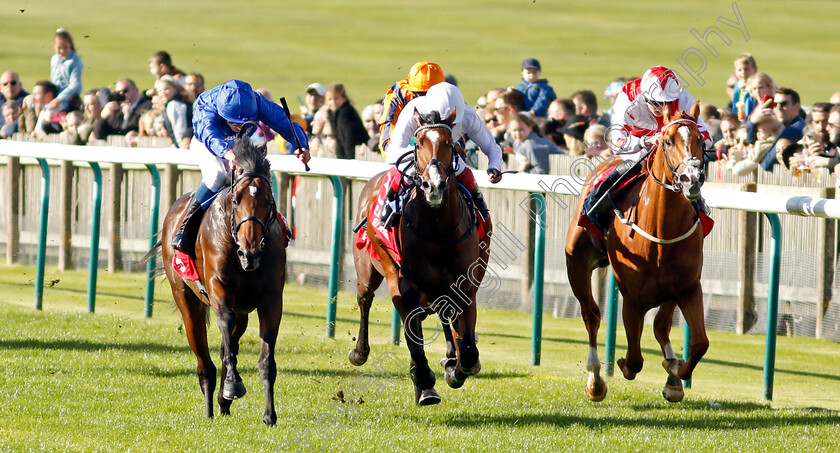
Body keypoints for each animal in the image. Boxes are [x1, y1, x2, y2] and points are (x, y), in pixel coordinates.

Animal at [158, 134, 286, 424]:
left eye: (269, 200)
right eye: (236, 200)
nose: (250, 252)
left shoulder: (271, 299)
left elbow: (265, 359)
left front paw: (270, 415)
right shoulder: (219, 290)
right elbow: (225, 328)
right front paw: (232, 386)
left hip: (244, 310)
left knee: (231, 343)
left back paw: (222, 402)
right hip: (186, 299)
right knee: (204, 360)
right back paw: (211, 403)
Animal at [350, 107, 488, 404]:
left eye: (449, 143)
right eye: (418, 143)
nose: (433, 186)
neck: (437, 230)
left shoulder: (465, 286)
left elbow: (469, 352)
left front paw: (455, 370)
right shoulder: (404, 283)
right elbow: (413, 335)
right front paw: (424, 381)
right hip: (368, 271)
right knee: (365, 299)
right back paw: (360, 352)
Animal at [564, 102, 708, 402]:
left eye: (701, 141)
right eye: (667, 141)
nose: (691, 181)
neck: (660, 230)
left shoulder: (688, 288)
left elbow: (699, 343)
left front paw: (676, 374)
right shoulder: (632, 297)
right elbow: (633, 361)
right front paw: (619, 365)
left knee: (661, 326)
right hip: (577, 264)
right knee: (591, 315)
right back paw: (595, 380)